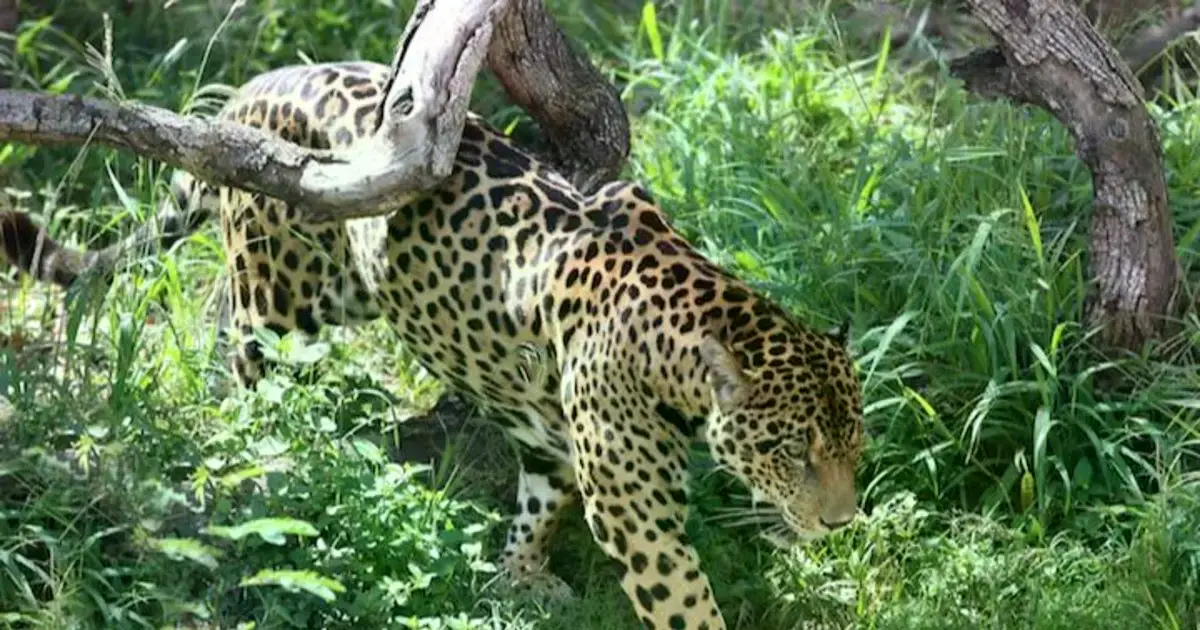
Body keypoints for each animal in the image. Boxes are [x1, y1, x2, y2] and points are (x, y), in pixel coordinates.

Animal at [1, 61, 865, 630]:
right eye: (794, 452)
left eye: (853, 450)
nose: (840, 526)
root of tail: (251, 91)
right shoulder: (636, 515)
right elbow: (684, 600)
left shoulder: (553, 433)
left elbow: (539, 501)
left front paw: (517, 577)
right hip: (278, 306)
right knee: (252, 382)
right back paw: (259, 473)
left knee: (218, 315)